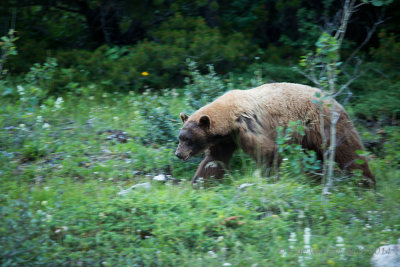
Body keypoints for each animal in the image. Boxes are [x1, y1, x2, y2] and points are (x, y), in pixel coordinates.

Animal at [175, 82, 376, 188]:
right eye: (180, 138)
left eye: (188, 139)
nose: (178, 154)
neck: (230, 115)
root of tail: (336, 101)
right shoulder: (226, 139)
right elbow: (214, 161)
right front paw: (198, 184)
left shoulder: (248, 127)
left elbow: (268, 151)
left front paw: (269, 179)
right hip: (310, 138)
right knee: (315, 159)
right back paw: (316, 181)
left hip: (327, 125)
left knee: (349, 152)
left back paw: (367, 183)